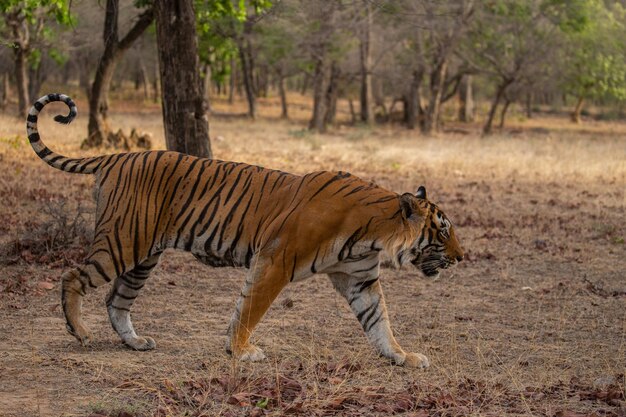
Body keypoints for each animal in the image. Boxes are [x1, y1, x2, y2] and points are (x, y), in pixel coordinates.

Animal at [26, 93, 460, 368]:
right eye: (442, 232)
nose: (460, 258)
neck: (374, 237)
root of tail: (116, 155)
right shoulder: (276, 261)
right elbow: (250, 309)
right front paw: (241, 351)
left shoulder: (360, 279)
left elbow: (379, 322)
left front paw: (401, 356)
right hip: (122, 241)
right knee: (73, 276)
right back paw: (80, 332)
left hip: (144, 255)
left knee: (117, 300)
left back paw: (134, 342)